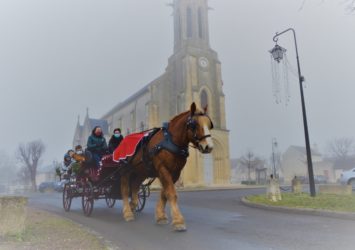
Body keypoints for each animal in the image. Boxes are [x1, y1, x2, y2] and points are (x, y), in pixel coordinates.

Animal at [119, 102, 214, 231]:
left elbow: (164, 193)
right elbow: (171, 193)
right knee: (125, 189)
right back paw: (127, 212)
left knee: (135, 186)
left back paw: (133, 205)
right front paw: (178, 220)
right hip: (126, 170)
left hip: (141, 171)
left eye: (209, 124)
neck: (171, 141)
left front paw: (161, 216)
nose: (209, 147)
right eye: (194, 125)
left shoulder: (175, 173)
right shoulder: (163, 169)